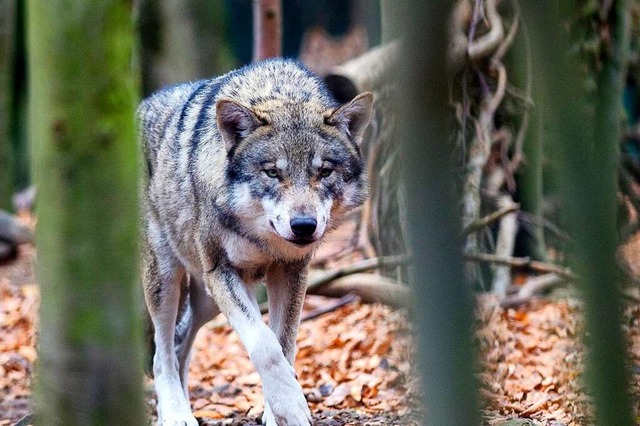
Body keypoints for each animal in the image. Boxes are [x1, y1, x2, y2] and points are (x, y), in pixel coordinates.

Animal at [138, 57, 372, 426]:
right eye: (272, 172)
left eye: (324, 172)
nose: (303, 226)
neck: (264, 240)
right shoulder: (223, 272)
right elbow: (264, 345)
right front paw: (292, 406)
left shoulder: (290, 272)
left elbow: (284, 344)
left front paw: (277, 413)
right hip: (167, 280)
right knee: (162, 354)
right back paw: (176, 414)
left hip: (205, 300)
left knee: (180, 348)